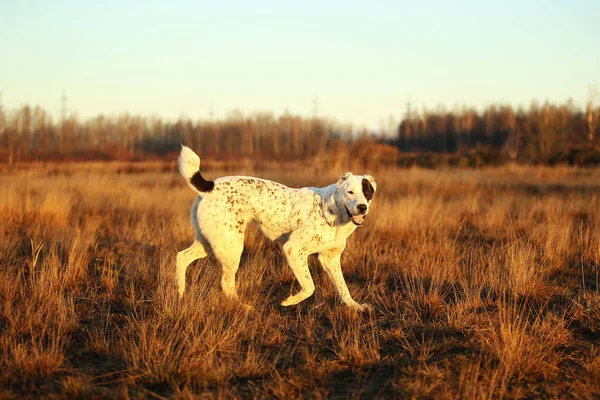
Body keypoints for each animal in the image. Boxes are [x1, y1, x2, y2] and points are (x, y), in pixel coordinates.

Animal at [173, 145, 378, 310]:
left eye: (368, 193)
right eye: (350, 192)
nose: (362, 207)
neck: (333, 209)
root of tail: (210, 186)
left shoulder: (330, 258)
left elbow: (343, 288)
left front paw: (355, 306)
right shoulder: (293, 250)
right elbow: (310, 286)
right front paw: (290, 300)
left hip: (210, 242)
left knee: (182, 257)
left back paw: (180, 293)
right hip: (231, 247)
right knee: (226, 282)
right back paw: (243, 307)